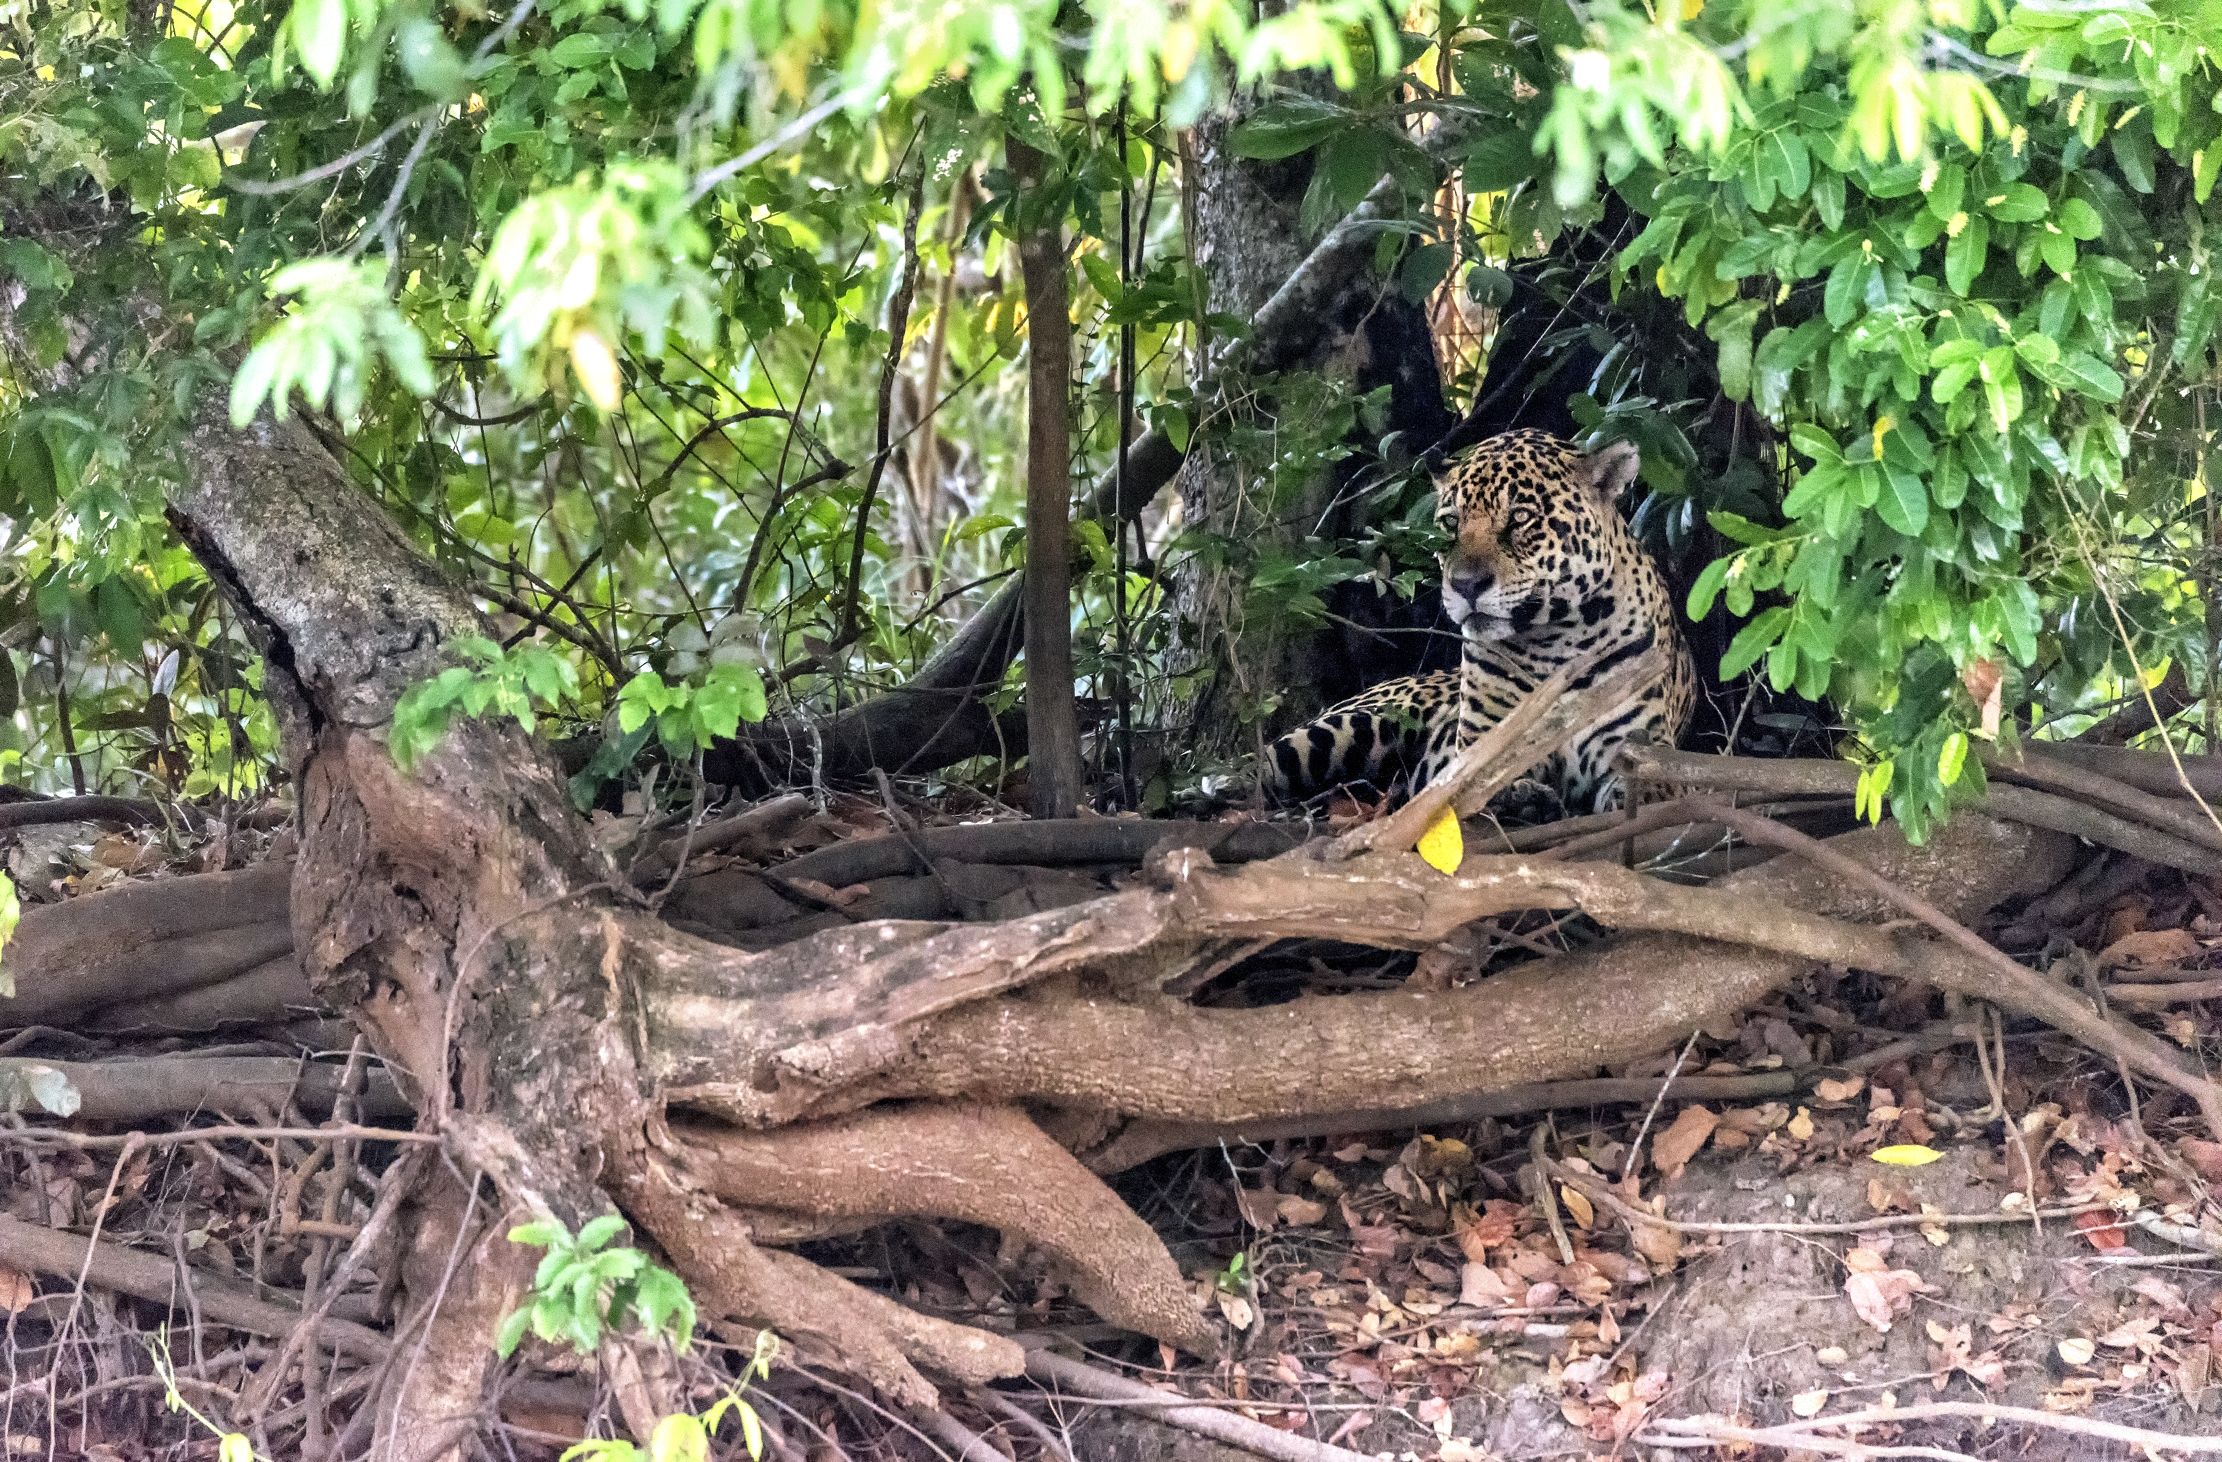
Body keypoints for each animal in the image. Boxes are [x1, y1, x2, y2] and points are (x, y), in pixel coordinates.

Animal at [1263, 428, 1696, 821]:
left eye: (1520, 517)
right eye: (1450, 523)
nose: (1466, 585)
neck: (1554, 639)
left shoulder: (1643, 747)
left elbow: (1649, 789)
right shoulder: (1482, 746)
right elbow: (1482, 782)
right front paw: (1524, 797)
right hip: (1350, 726)